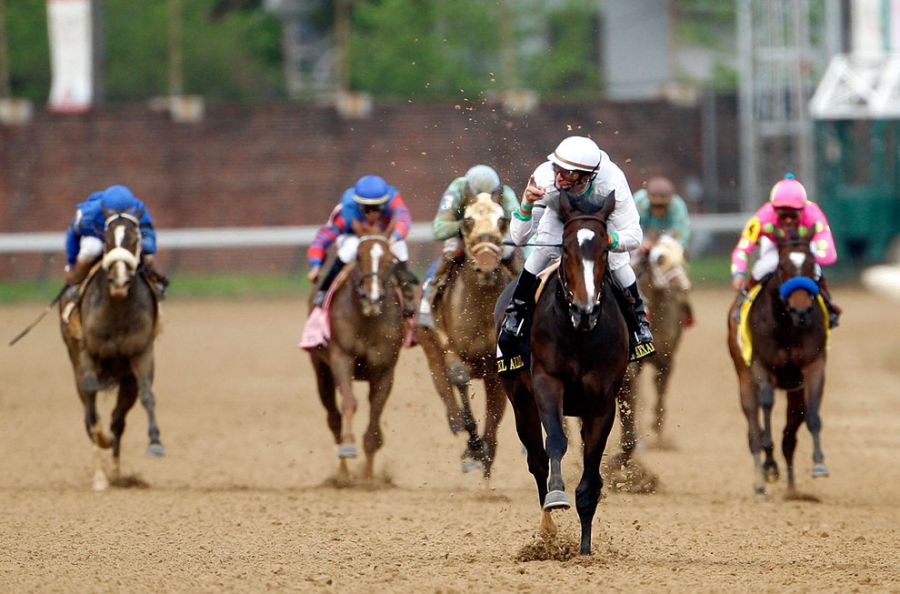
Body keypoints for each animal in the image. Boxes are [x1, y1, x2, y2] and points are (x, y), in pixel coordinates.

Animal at [60, 208, 163, 490]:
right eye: (106, 238)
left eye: (135, 238)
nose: (119, 281)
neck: (116, 308)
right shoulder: (87, 353)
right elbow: (92, 410)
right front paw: (101, 443)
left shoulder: (141, 352)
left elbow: (147, 395)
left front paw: (155, 442)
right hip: (75, 365)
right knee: (90, 414)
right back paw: (100, 476)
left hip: (127, 379)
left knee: (118, 419)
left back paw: (116, 474)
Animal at [308, 234, 402, 478]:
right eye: (358, 257)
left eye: (390, 259)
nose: (373, 297)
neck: (367, 320)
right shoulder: (341, 358)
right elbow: (349, 402)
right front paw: (348, 446)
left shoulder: (385, 368)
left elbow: (376, 413)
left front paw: (368, 476)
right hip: (322, 372)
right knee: (333, 417)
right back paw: (343, 471)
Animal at [416, 192, 510, 478]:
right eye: (467, 221)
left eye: (502, 220)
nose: (487, 263)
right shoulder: (449, 348)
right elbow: (458, 376)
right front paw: (474, 446)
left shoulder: (496, 364)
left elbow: (495, 412)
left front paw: (485, 451)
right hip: (430, 346)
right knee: (445, 386)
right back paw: (459, 426)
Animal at [496, 191, 628, 556]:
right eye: (566, 249)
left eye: (605, 250)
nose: (585, 310)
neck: (579, 334)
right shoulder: (547, 384)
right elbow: (555, 441)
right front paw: (557, 496)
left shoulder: (602, 403)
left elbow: (592, 471)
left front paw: (584, 547)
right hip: (520, 401)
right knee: (537, 460)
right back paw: (548, 532)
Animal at [724, 231, 828, 494]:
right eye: (783, 267)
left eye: (812, 265)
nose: (801, 310)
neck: (786, 327)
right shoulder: (761, 365)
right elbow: (767, 405)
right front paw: (769, 466)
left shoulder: (814, 364)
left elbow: (812, 412)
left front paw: (819, 463)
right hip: (744, 377)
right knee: (753, 426)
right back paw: (760, 483)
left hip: (795, 390)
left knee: (790, 436)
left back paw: (791, 486)